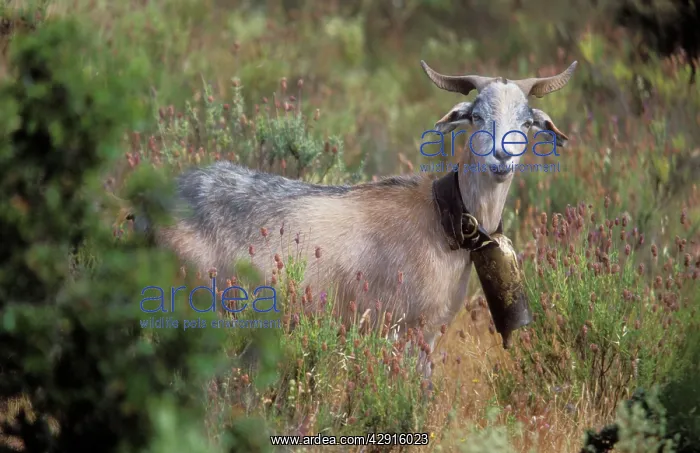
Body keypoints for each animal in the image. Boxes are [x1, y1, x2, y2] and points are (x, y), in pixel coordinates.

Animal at [150, 60, 577, 373]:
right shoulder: (400, 328)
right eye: (475, 116)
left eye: (527, 122)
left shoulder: (429, 334)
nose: (501, 158)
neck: (442, 220)